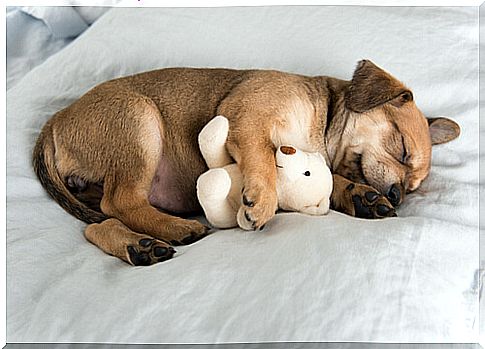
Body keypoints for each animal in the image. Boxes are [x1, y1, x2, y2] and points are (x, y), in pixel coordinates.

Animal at [33, 59, 458, 266]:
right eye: (401, 148)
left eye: (412, 187)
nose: (398, 194)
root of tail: (55, 122)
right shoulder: (249, 119)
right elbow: (263, 158)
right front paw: (262, 200)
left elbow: (330, 180)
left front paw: (359, 196)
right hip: (140, 123)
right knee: (120, 202)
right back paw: (175, 229)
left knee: (98, 224)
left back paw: (141, 246)